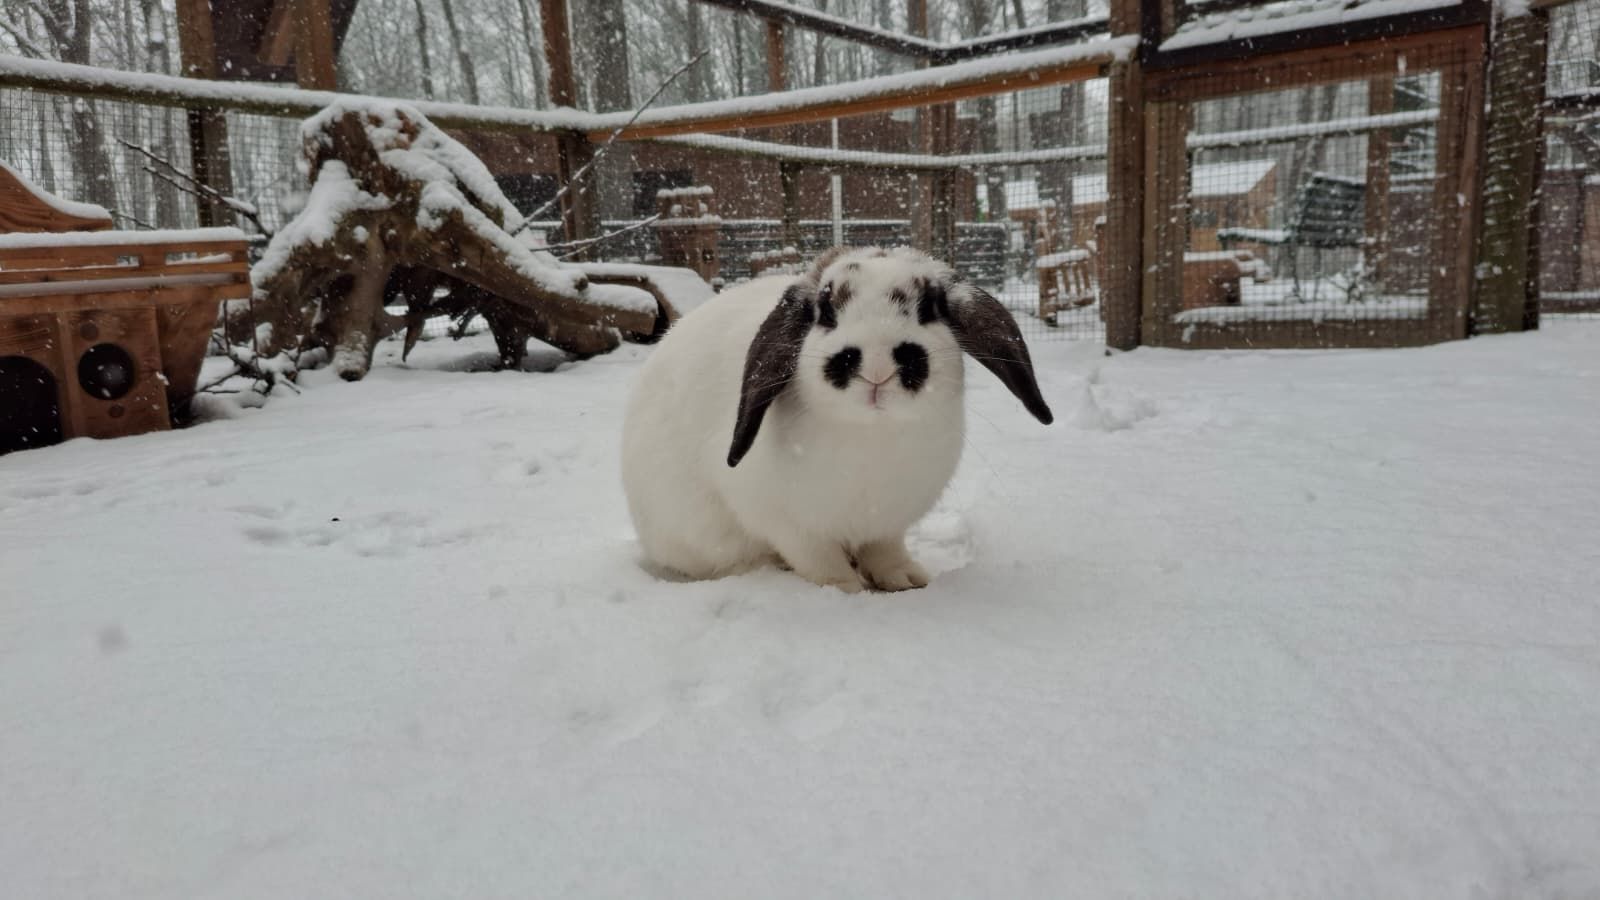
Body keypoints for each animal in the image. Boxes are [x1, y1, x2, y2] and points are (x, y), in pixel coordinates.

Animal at [621, 246, 1053, 592]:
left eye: (928, 308)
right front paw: (845, 589)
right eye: (826, 312)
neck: (872, 432)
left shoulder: (887, 526)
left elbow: (885, 552)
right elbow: (819, 560)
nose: (877, 365)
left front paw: (905, 579)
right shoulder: (790, 526)